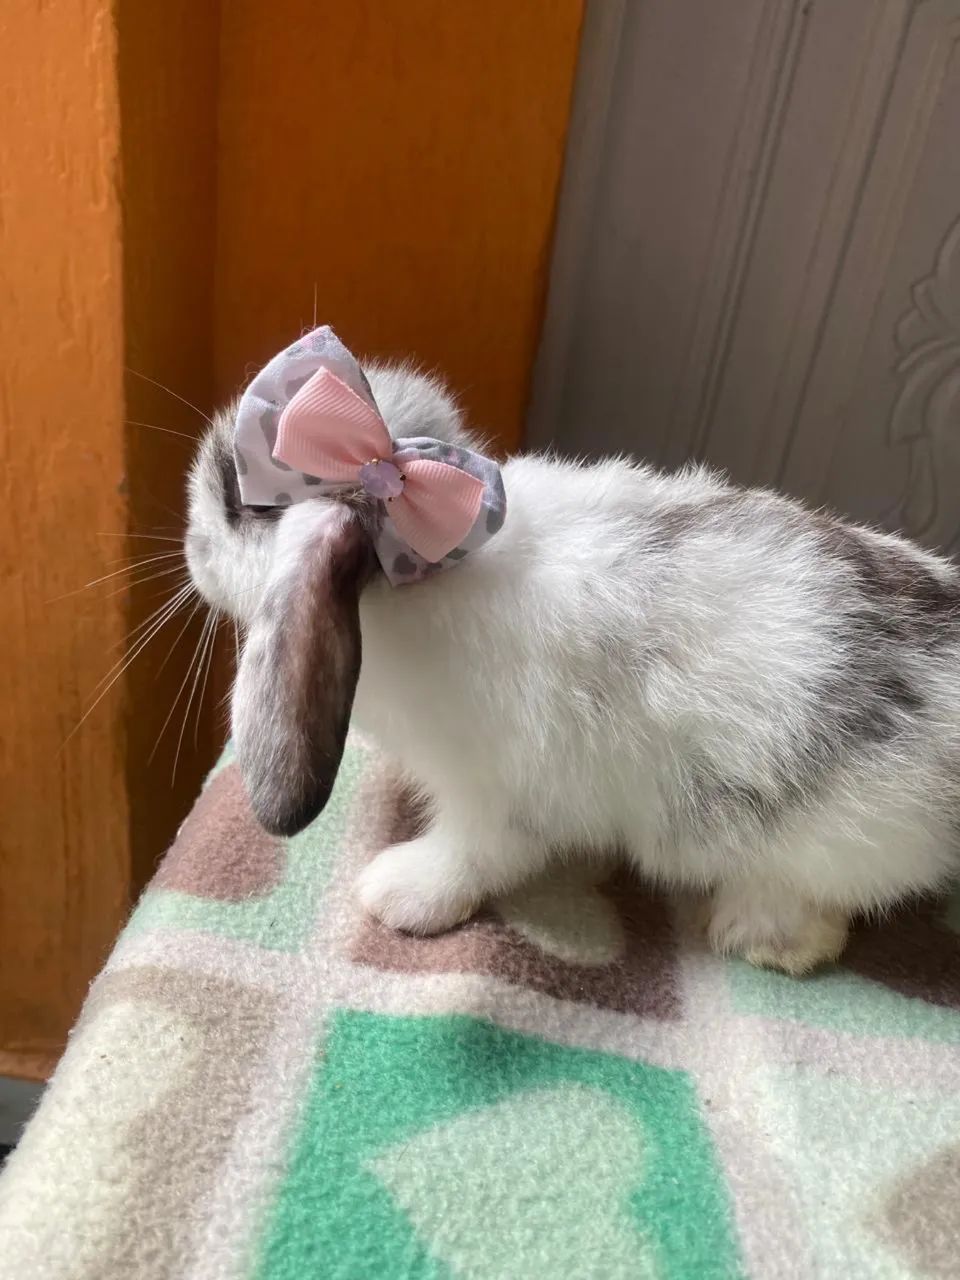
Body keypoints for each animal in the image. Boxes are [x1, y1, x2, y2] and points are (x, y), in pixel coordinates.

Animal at [185, 357, 960, 975]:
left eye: (238, 504)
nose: (191, 548)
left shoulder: (497, 794)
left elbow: (475, 855)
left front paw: (397, 894)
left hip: (829, 837)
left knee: (821, 907)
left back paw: (759, 938)